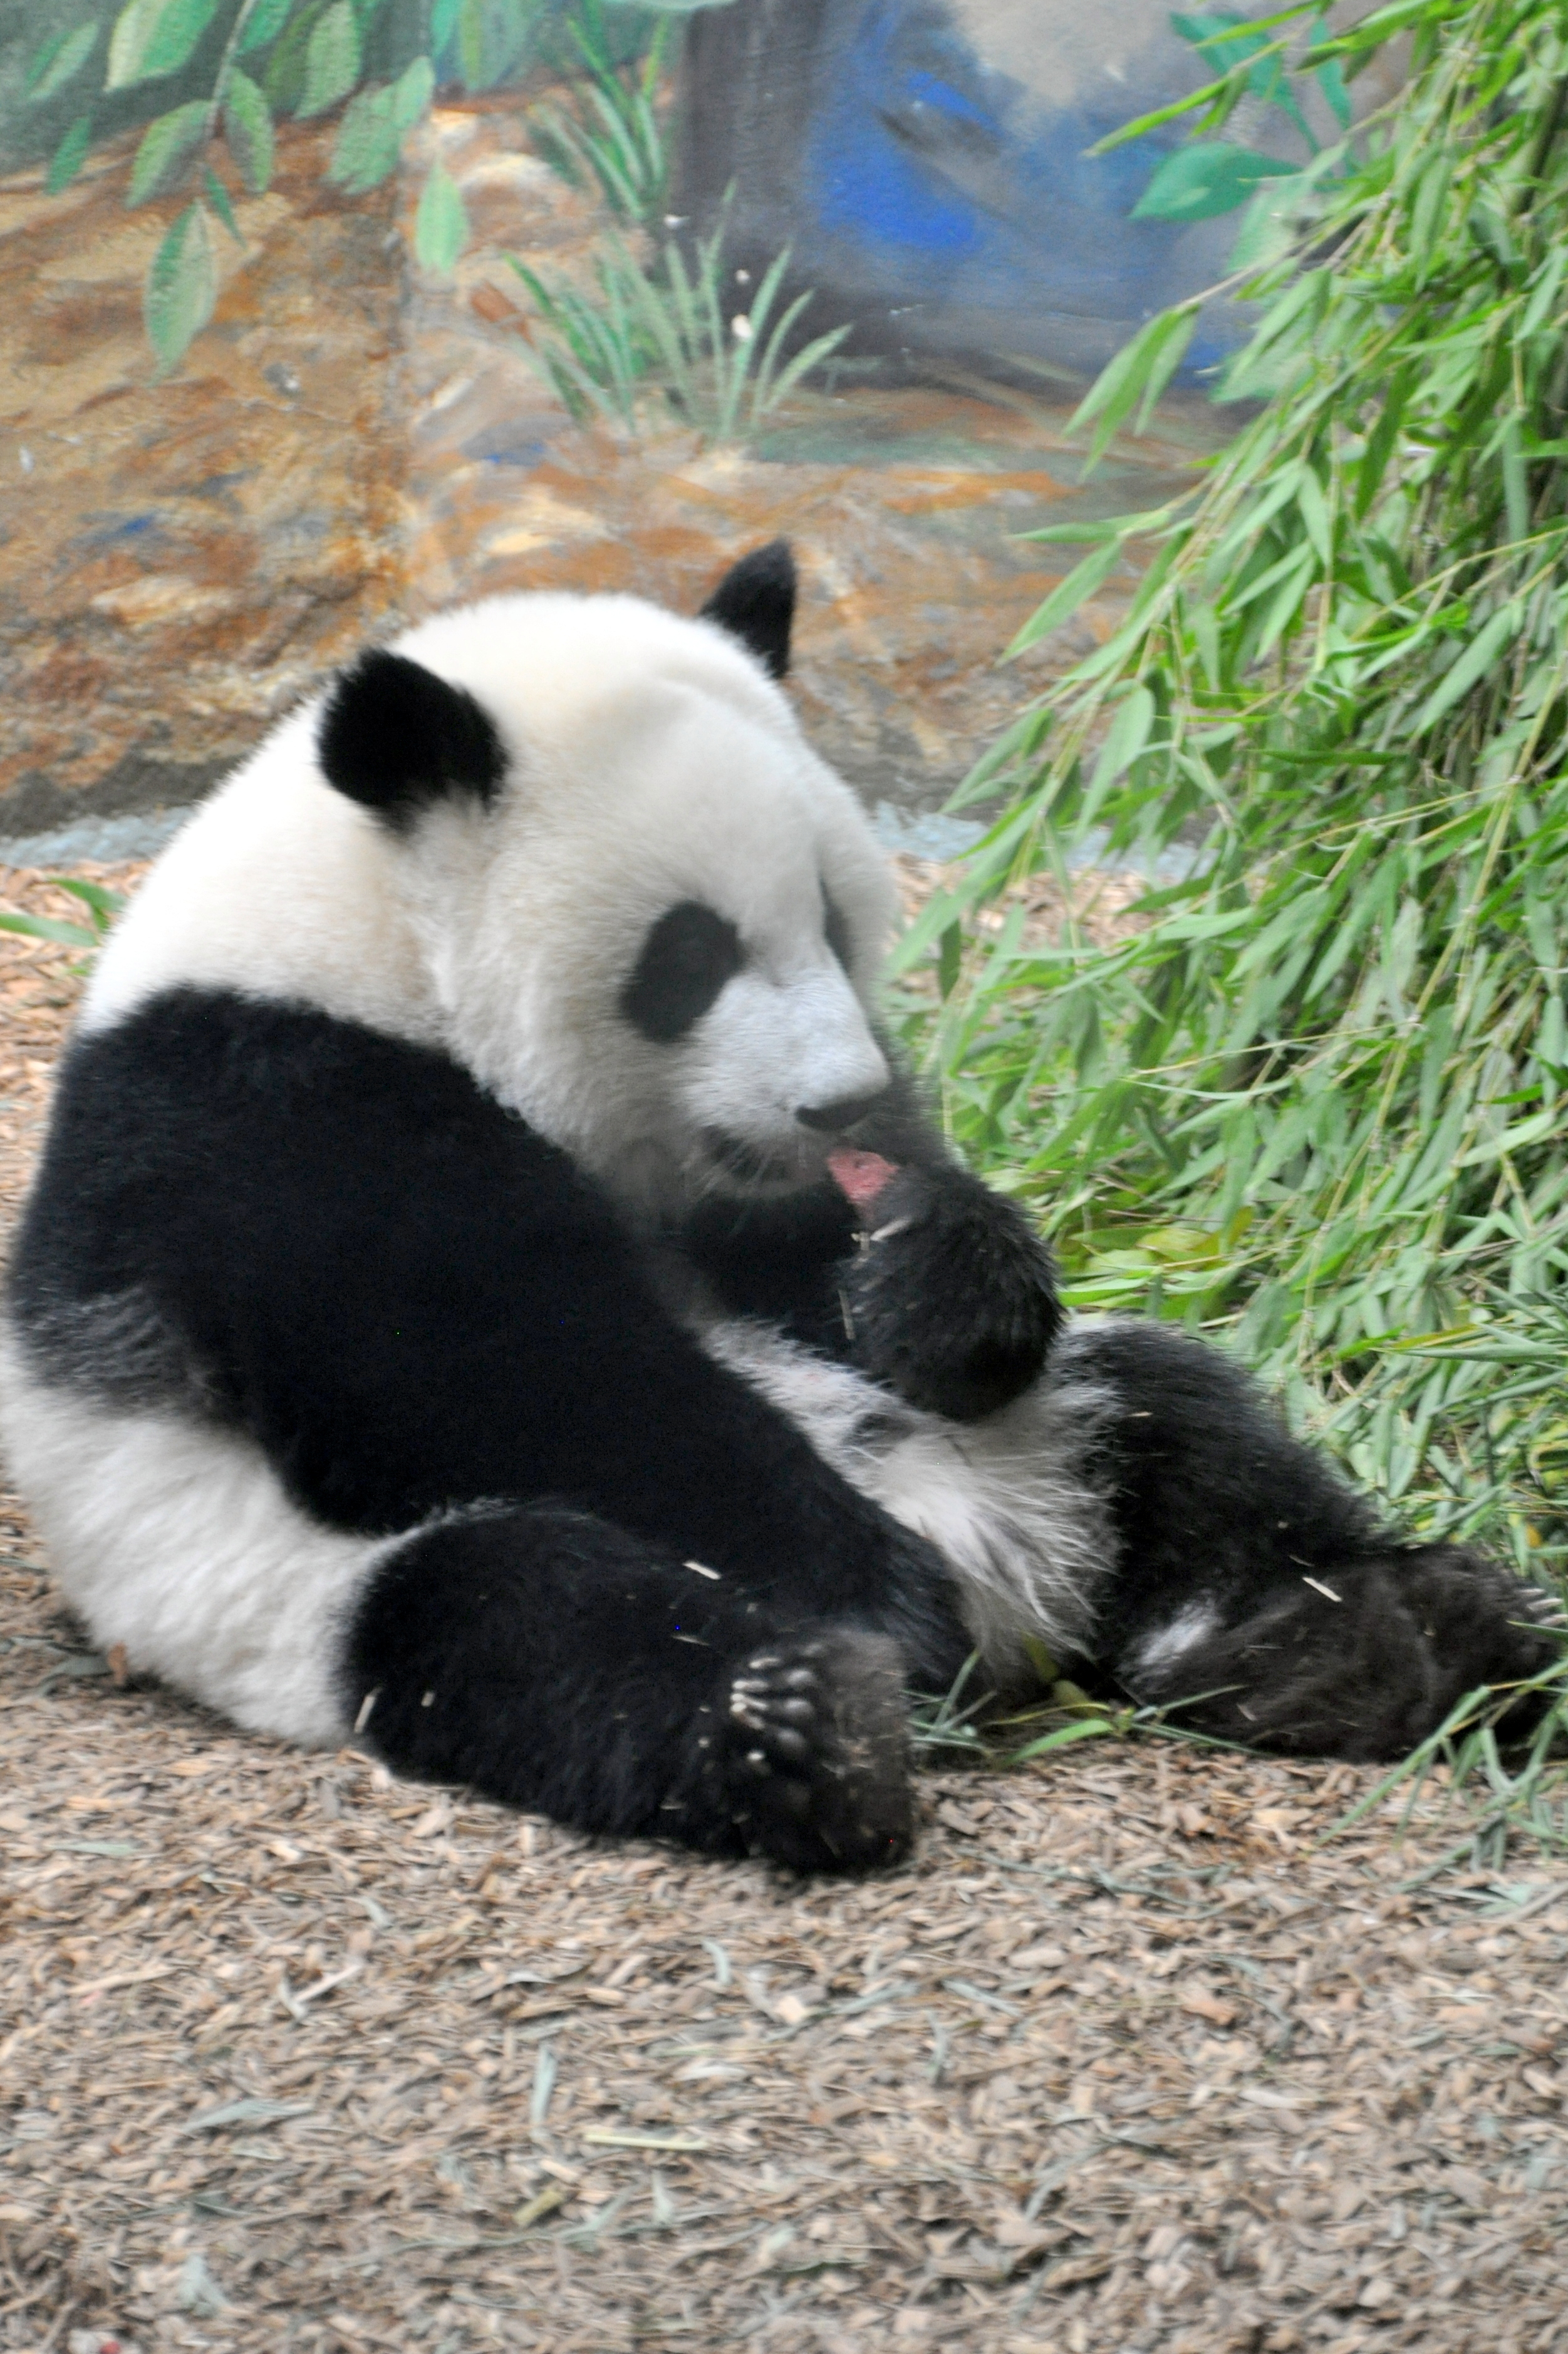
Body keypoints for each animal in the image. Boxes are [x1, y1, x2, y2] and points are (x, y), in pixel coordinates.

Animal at [0, 544, 1556, 1873]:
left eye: (833, 917)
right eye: (687, 957)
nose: (843, 1103)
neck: (366, 932)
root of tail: (1028, 1586)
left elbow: (822, 1273)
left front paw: (934, 1273)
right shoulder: (270, 1110)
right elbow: (491, 1375)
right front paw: (877, 1591)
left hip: (1062, 1419)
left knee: (1180, 1420)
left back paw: (1355, 1641)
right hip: (283, 1587)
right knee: (523, 1613)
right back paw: (819, 1724)